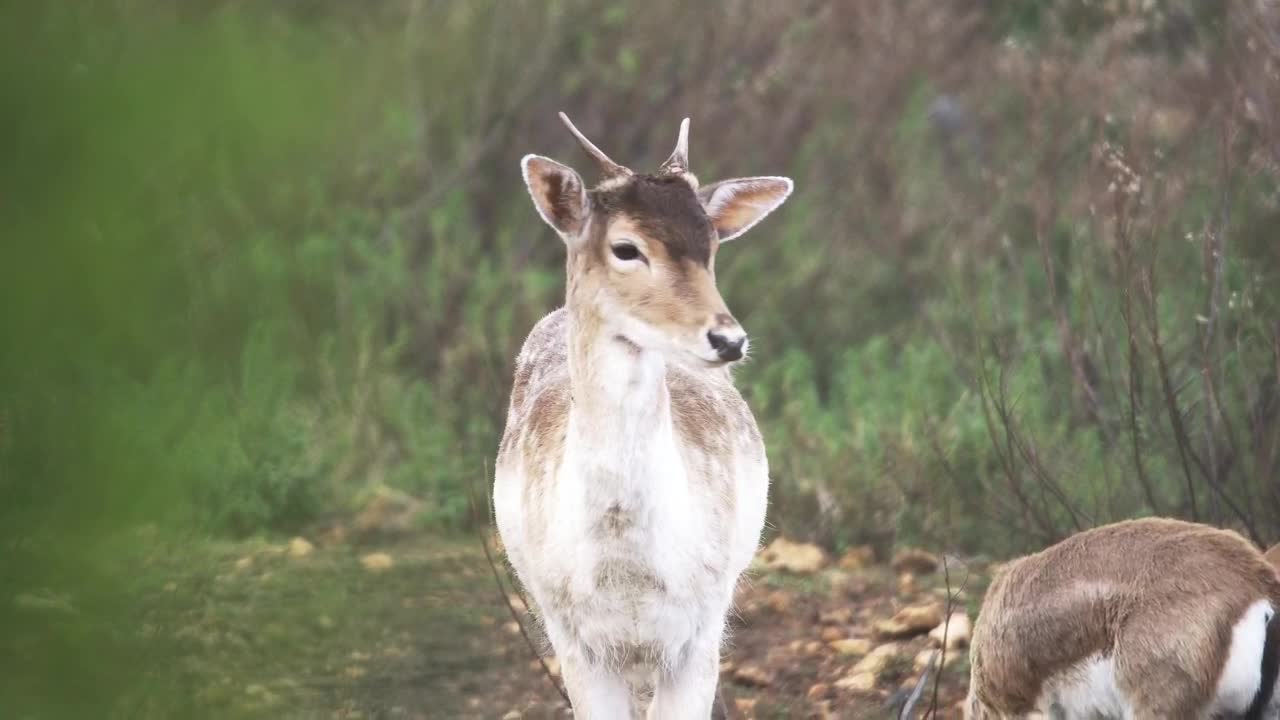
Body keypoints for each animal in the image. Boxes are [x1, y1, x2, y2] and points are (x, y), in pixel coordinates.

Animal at [492, 113, 792, 718]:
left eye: (711, 244)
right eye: (626, 248)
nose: (728, 339)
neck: (629, 573)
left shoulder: (701, 629)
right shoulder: (574, 637)